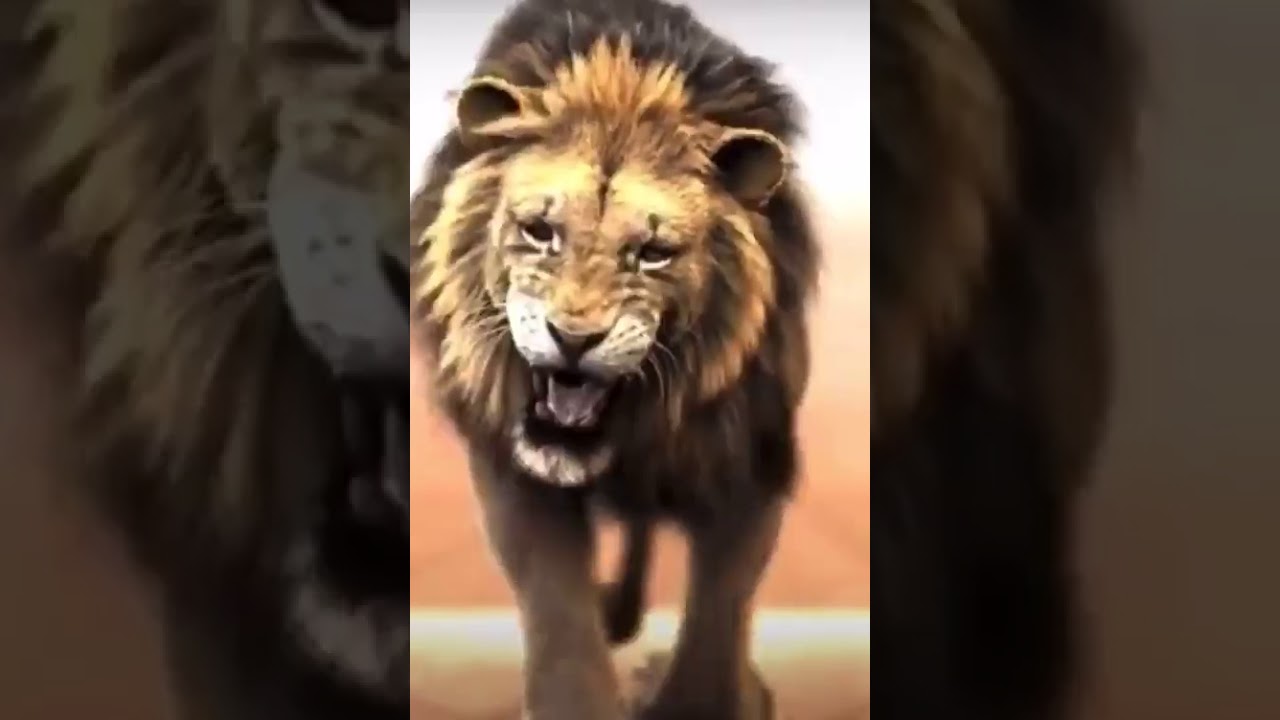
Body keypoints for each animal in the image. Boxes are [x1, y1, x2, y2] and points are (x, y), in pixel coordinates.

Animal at [411, 0, 818, 718]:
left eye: (653, 253)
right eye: (539, 232)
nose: (573, 338)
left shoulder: (751, 458)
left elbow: (717, 618)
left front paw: (711, 697)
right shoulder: (514, 475)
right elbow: (559, 620)